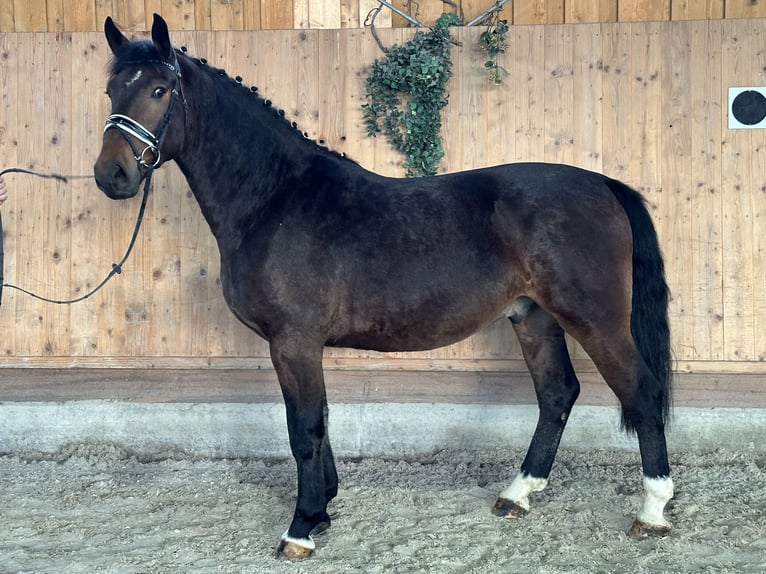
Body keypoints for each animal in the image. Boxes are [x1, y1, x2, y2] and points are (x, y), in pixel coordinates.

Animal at [93, 14, 676, 564]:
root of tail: (604, 185)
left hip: (595, 320)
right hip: (533, 316)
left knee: (642, 393)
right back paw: (518, 494)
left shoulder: (293, 341)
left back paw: (651, 512)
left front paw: (301, 527)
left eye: (159, 90)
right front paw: (324, 507)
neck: (275, 199)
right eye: (111, 90)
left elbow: (304, 428)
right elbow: (321, 420)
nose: (111, 175)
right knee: (557, 394)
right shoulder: (299, 346)